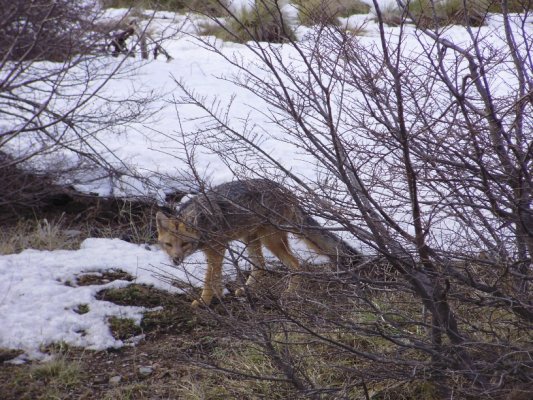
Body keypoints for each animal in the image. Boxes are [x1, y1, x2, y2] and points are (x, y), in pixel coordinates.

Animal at [156, 178, 360, 306]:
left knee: (296, 264)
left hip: (270, 241)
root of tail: (284, 190)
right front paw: (218, 296)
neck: (204, 222)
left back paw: (289, 293)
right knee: (260, 264)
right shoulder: (216, 251)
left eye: (184, 244)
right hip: (252, 238)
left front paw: (203, 301)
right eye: (169, 245)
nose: (176, 260)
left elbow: (209, 279)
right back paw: (246, 289)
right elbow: (216, 278)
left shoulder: (217, 249)